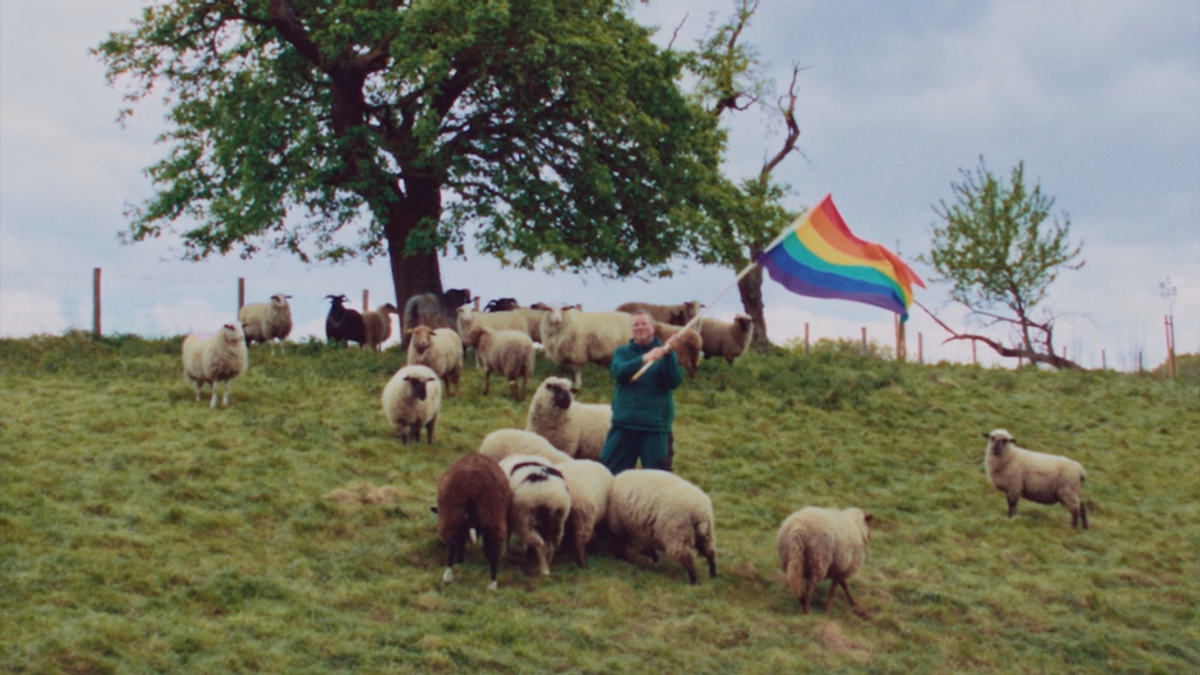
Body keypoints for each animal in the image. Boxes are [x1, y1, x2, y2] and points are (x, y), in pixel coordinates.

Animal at [434, 451, 513, 588]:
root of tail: (474, 485)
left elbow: (460, 541)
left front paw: (460, 560)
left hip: (451, 515)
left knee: (453, 544)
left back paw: (447, 576)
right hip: (493, 517)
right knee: (494, 550)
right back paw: (492, 584)